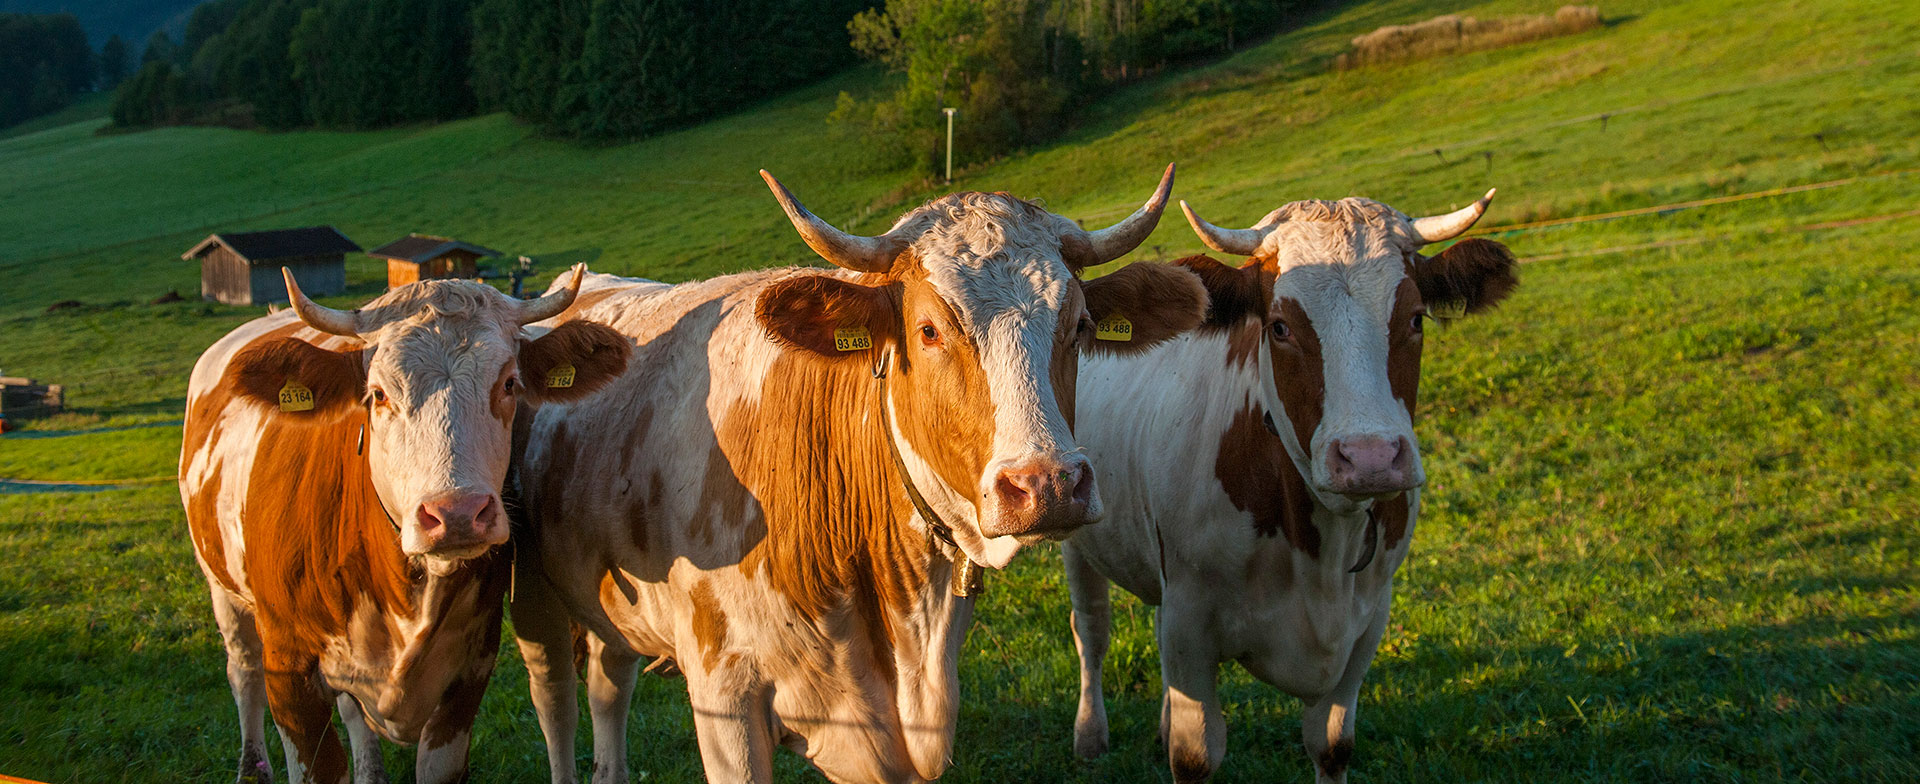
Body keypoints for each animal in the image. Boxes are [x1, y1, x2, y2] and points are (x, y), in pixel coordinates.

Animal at [178, 267, 622, 780]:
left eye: (510, 384)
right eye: (378, 393)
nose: (456, 514)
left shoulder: (469, 671)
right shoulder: (290, 674)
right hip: (221, 587)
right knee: (242, 669)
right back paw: (252, 766)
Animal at [503, 168, 1205, 780]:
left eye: (1080, 325)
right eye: (928, 329)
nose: (1048, 485)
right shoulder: (723, 695)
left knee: (608, 684)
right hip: (533, 596)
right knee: (555, 703)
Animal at [1067, 193, 1512, 780]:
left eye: (1416, 319)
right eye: (1279, 327)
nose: (1370, 458)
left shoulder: (1369, 621)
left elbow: (1331, 744)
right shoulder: (1191, 623)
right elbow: (1194, 754)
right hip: (1077, 532)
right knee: (1091, 631)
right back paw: (1089, 733)